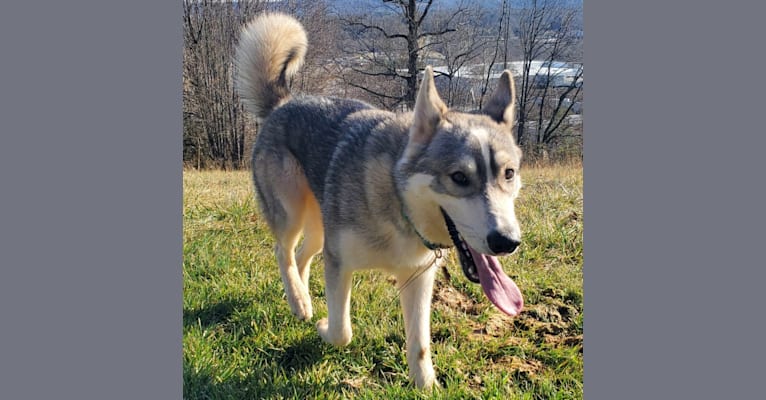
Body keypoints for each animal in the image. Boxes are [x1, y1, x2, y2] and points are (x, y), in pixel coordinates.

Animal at [237, 13, 524, 390]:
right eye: (459, 177)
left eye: (508, 173)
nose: (507, 242)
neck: (399, 206)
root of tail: (284, 103)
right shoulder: (339, 262)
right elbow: (342, 331)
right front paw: (323, 327)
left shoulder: (418, 278)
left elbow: (420, 344)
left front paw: (425, 386)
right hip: (292, 215)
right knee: (282, 251)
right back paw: (300, 303)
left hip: (319, 229)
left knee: (300, 257)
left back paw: (301, 296)